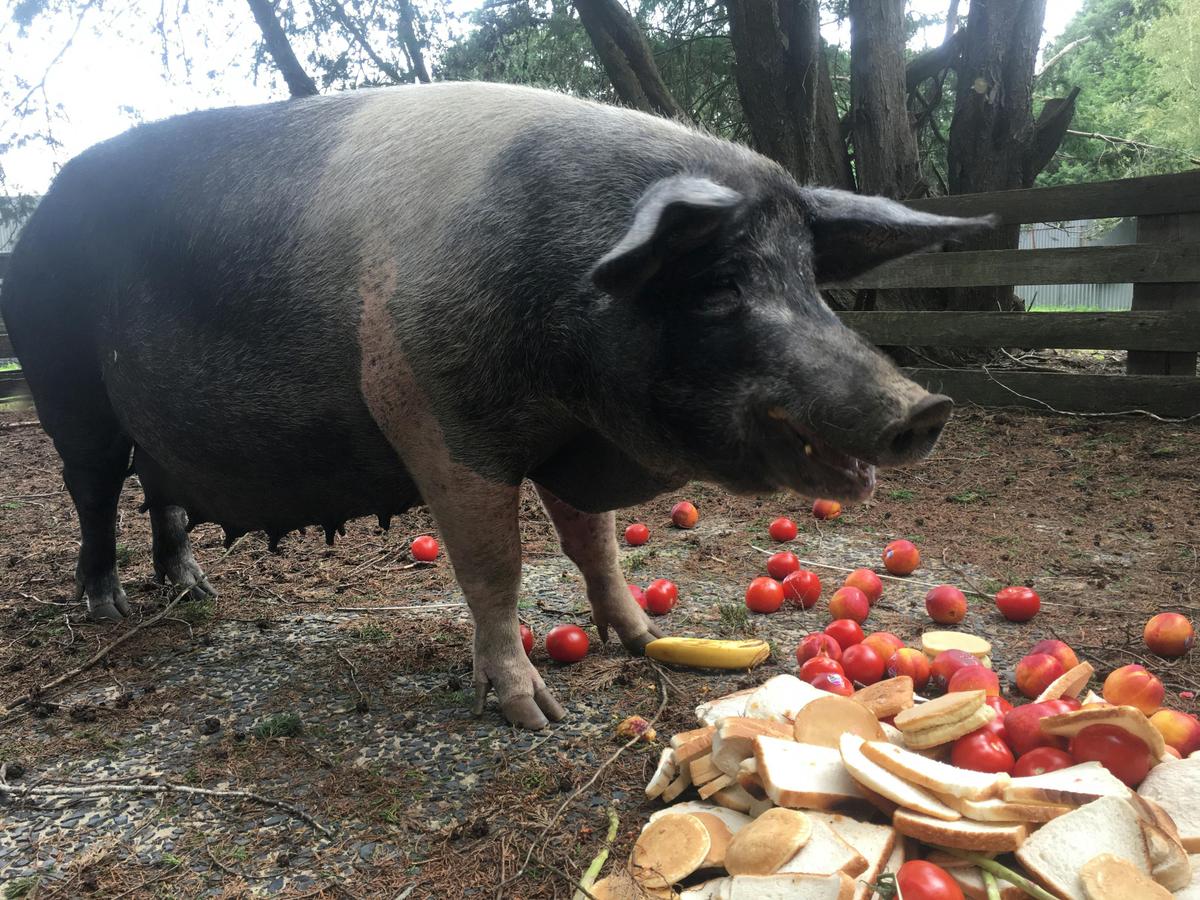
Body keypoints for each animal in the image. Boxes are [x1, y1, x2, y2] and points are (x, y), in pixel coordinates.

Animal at [0, 82, 991, 729]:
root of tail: (35, 218)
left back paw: (193, 587)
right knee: (93, 491)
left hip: (146, 424)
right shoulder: (435, 419)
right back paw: (106, 607)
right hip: (61, 382)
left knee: (158, 490)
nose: (924, 407)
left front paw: (640, 639)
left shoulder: (567, 441)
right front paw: (536, 717)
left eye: (810, 281)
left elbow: (594, 547)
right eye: (717, 288)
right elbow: (494, 570)